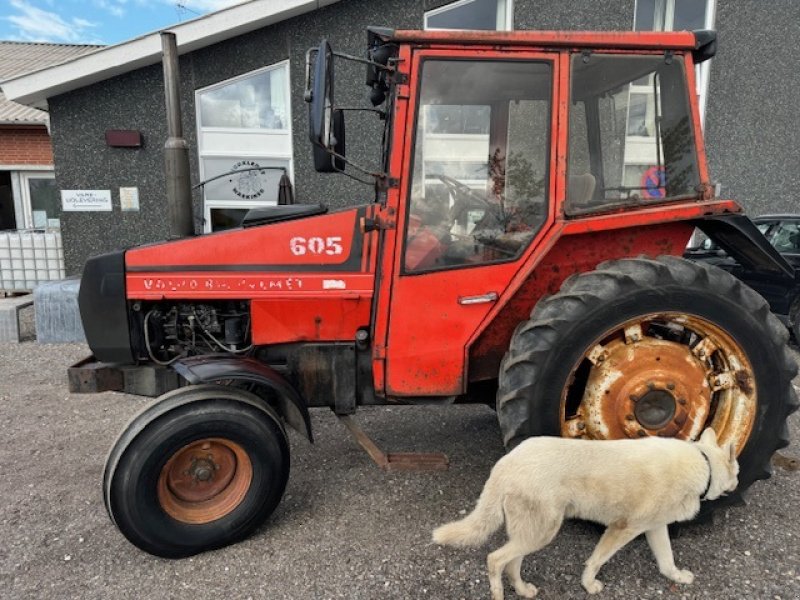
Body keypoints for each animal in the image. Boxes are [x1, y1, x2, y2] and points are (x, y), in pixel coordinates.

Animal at [434, 428, 740, 596]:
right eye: (737, 471)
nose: (738, 483)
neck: (703, 464)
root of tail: (505, 463)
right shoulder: (623, 528)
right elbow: (596, 561)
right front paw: (588, 585)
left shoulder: (654, 528)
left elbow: (667, 563)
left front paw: (677, 578)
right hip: (542, 533)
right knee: (495, 560)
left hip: (532, 533)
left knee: (511, 563)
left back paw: (522, 590)